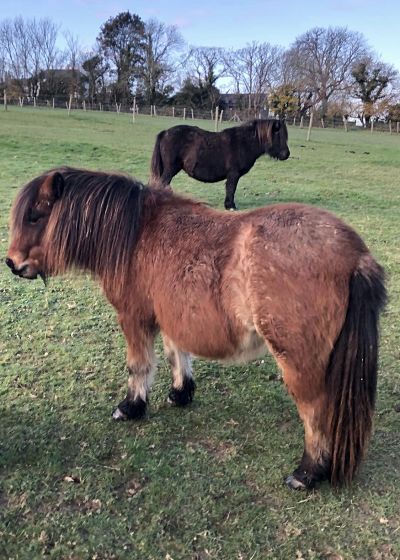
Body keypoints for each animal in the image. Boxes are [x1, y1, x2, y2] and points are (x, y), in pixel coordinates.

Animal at [6, 167, 386, 490]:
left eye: (36, 215)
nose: (12, 263)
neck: (136, 233)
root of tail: (355, 255)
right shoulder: (171, 315)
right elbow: (177, 353)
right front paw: (180, 393)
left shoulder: (133, 317)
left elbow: (138, 366)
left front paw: (131, 407)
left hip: (299, 360)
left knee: (315, 410)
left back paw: (306, 473)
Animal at [148, 119, 290, 209]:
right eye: (278, 136)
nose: (286, 154)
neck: (243, 143)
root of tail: (165, 132)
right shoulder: (233, 174)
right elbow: (231, 189)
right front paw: (230, 206)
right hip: (170, 169)